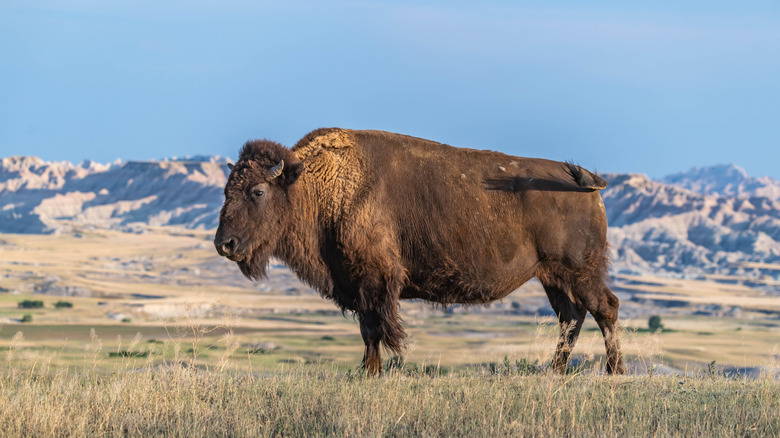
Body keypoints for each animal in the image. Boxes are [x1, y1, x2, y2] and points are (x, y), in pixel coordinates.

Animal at [215, 128, 624, 375]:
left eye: (257, 191)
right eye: (225, 190)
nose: (224, 244)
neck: (314, 185)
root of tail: (586, 183)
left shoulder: (374, 280)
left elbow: (374, 328)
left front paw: (372, 372)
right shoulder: (361, 284)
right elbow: (368, 329)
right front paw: (368, 371)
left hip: (578, 271)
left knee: (604, 308)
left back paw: (614, 372)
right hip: (552, 277)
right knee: (571, 317)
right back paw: (554, 373)